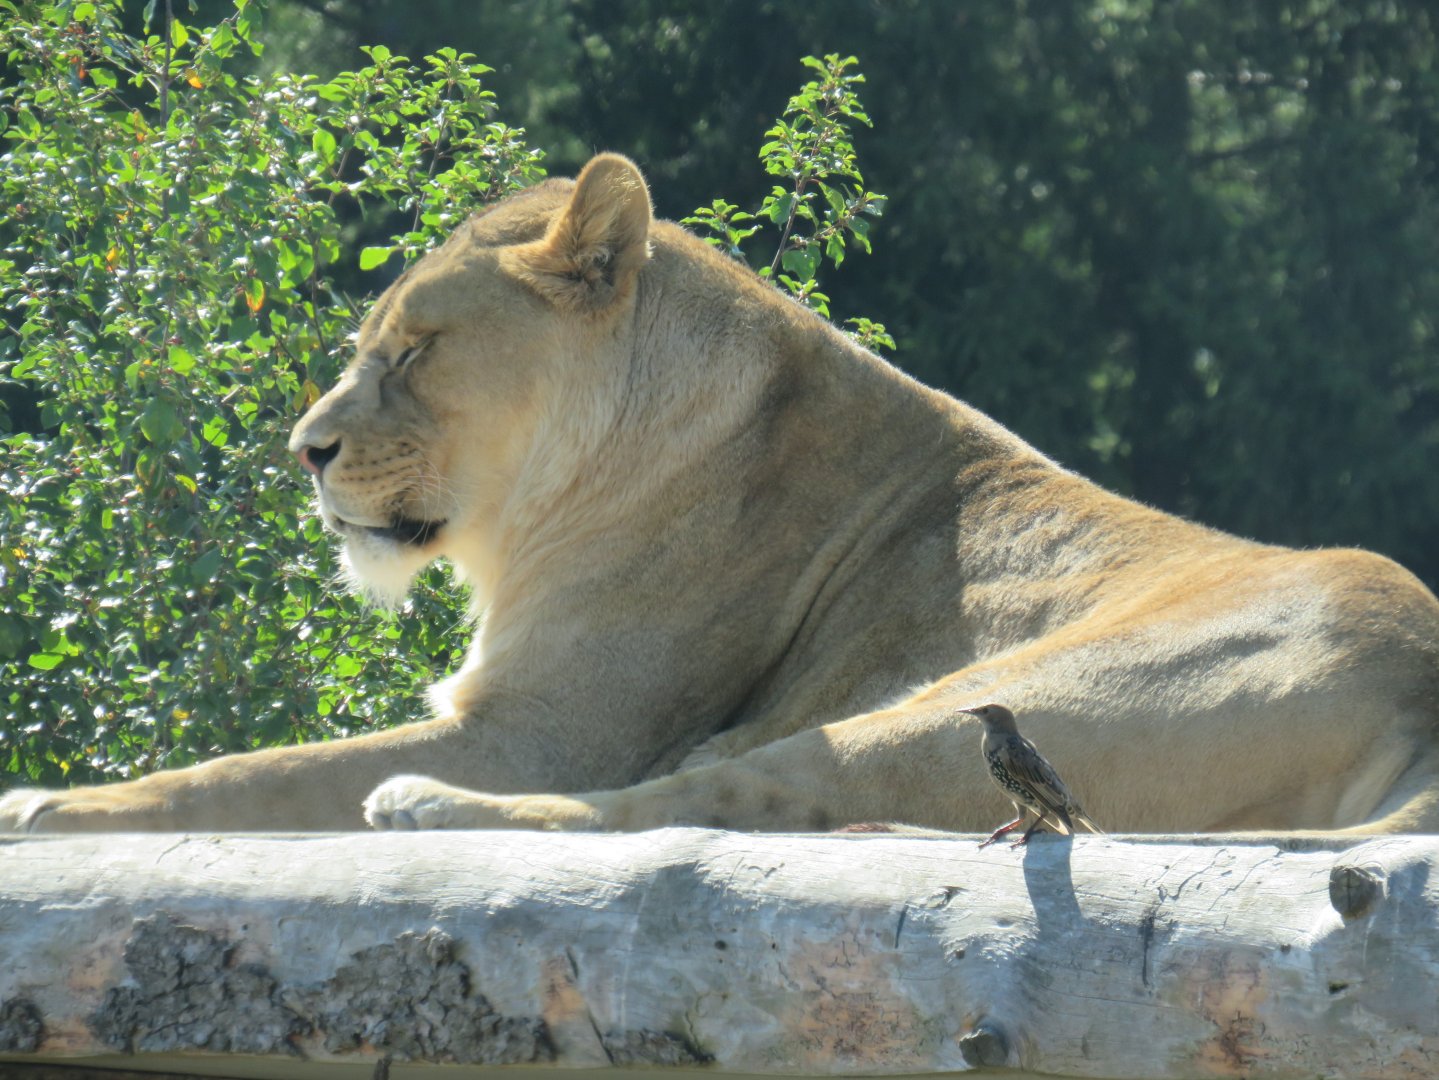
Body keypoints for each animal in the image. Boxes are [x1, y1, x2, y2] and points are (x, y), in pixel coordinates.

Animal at [3, 152, 1438, 836]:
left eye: (411, 352)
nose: (304, 451)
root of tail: (1422, 683)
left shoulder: (540, 734)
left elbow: (238, 773)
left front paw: (53, 806)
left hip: (970, 708)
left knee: (705, 803)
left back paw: (423, 807)